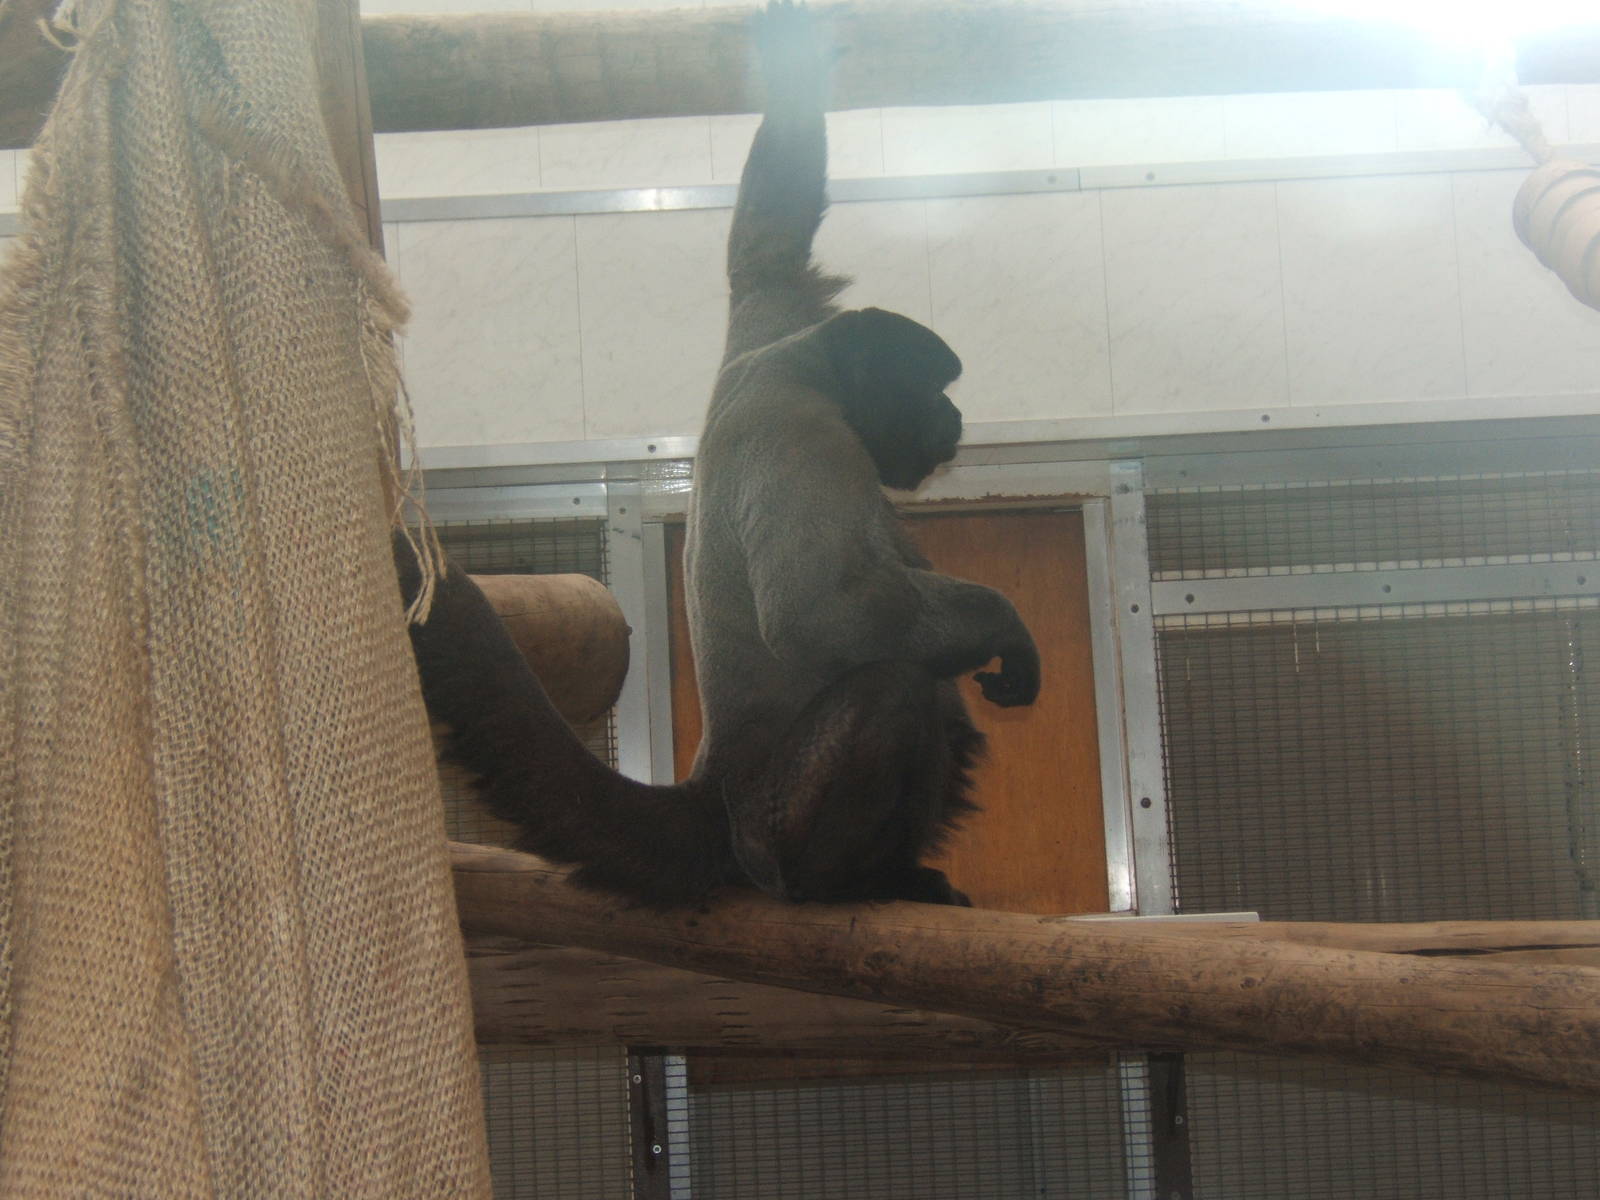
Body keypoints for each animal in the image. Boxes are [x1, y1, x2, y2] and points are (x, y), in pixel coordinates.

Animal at [396, 0, 1039, 908]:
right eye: (933, 390)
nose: (955, 415)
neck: (802, 367)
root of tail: (716, 792)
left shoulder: (765, 323)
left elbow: (767, 243)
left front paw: (794, 49)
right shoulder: (802, 434)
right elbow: (819, 614)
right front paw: (1003, 622)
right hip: (781, 822)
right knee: (895, 685)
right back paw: (853, 880)